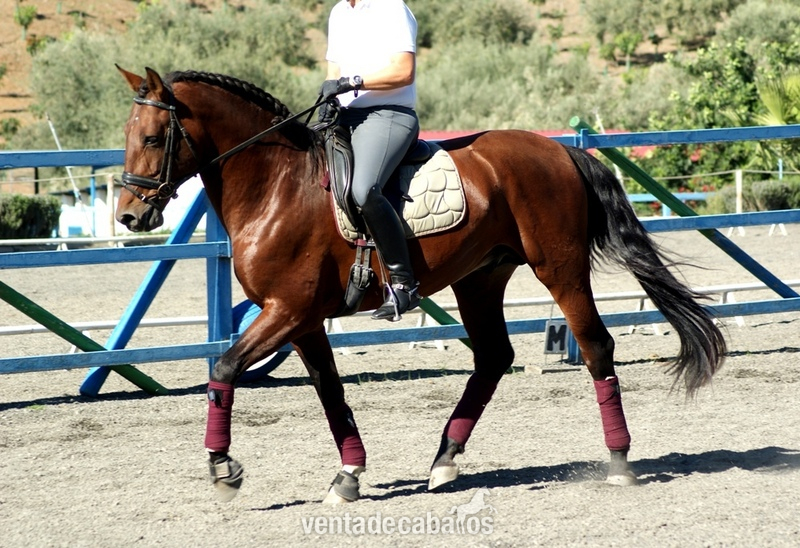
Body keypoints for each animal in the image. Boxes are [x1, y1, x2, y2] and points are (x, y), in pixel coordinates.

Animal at [115, 66, 726, 503]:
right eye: (127, 135)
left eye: (154, 138)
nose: (128, 216)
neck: (276, 186)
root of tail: (561, 149)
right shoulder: (300, 317)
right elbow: (330, 391)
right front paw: (349, 474)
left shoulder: (286, 310)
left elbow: (223, 369)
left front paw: (222, 468)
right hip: (481, 278)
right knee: (493, 357)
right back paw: (446, 459)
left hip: (560, 268)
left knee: (596, 346)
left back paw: (619, 463)